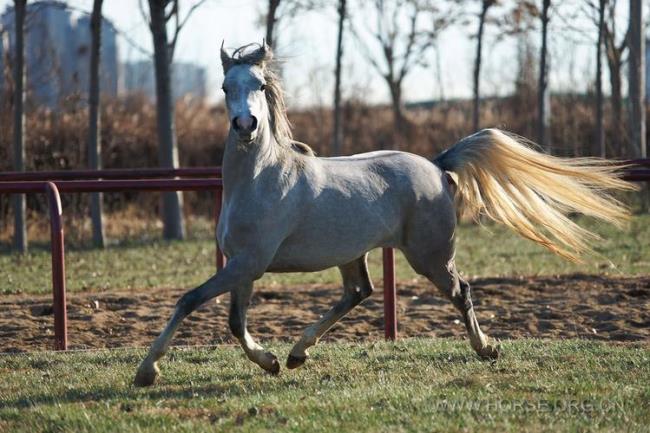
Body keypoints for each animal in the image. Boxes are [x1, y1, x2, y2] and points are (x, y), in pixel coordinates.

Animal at [133, 42, 632, 386]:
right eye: (225, 87)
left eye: (259, 86)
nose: (245, 125)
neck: (259, 180)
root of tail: (437, 165)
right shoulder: (245, 267)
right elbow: (234, 322)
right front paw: (272, 361)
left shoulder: (247, 263)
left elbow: (189, 300)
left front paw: (146, 372)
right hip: (353, 253)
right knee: (360, 292)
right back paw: (298, 353)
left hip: (429, 255)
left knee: (461, 291)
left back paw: (486, 349)